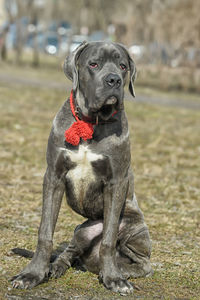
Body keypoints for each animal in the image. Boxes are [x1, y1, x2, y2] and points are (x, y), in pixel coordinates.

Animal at [11, 41, 152, 294]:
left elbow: (108, 238)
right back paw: (55, 267)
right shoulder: (54, 176)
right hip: (82, 231)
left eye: (123, 66)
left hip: (135, 229)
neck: (91, 121)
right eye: (94, 64)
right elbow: (45, 232)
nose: (114, 80)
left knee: (140, 263)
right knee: (69, 253)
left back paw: (119, 271)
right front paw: (33, 274)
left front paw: (113, 278)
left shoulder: (117, 182)